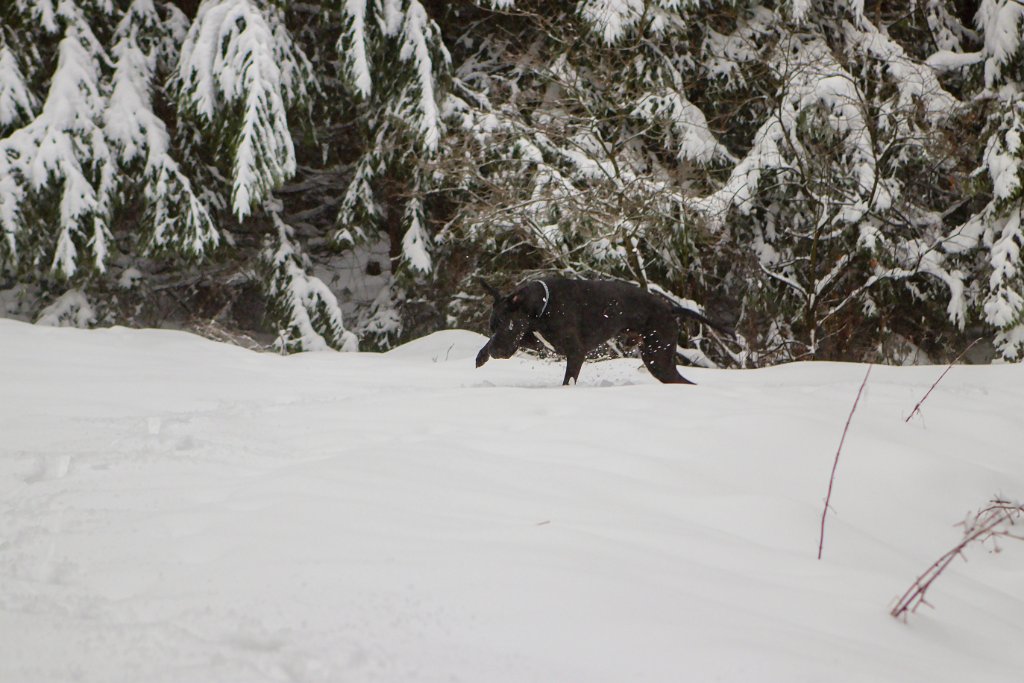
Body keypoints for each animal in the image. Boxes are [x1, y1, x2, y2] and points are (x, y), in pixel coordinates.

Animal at [475, 278, 733, 385]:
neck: (542, 305)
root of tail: (669, 308)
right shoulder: (534, 339)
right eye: (492, 327)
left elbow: (568, 381)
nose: (497, 352)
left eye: (507, 325)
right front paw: (482, 355)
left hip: (657, 356)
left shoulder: (575, 353)